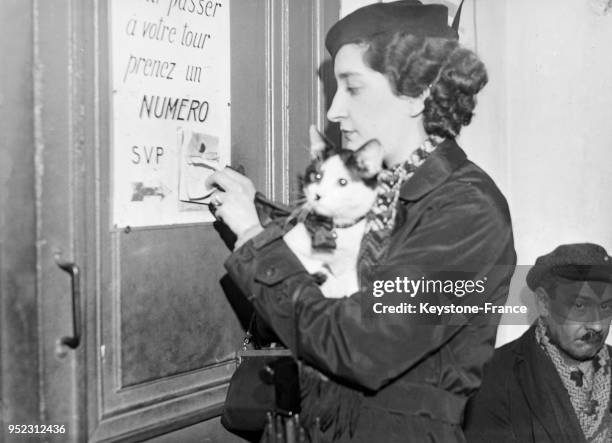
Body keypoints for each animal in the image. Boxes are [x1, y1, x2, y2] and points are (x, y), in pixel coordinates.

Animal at [284, 125, 382, 298]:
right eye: (317, 176)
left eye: (342, 182)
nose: (318, 195)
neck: (338, 228)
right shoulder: (290, 241)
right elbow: (308, 262)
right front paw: (333, 285)